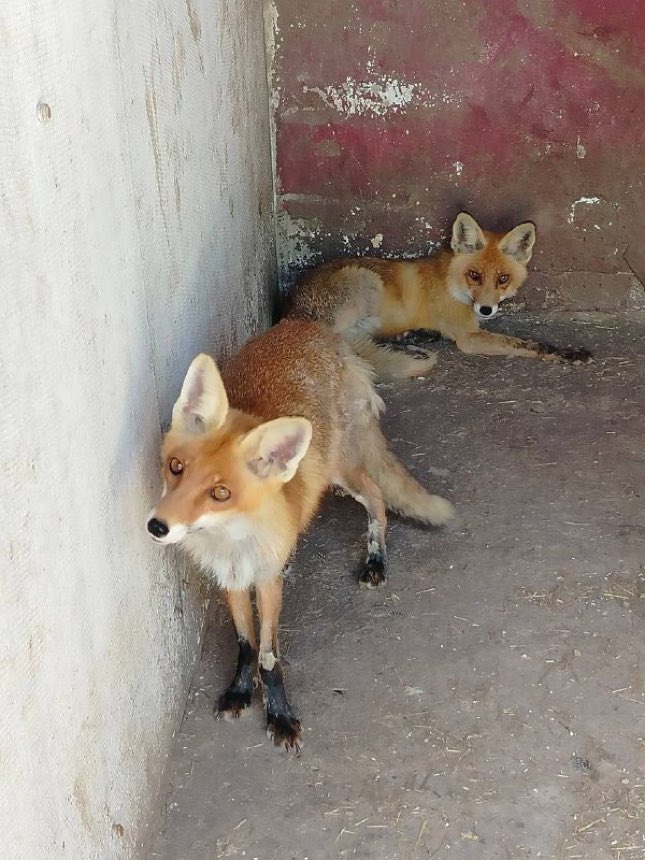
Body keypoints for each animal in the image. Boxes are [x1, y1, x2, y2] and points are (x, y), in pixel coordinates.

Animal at [146, 319, 454, 751]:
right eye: (175, 467)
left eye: (220, 493)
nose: (157, 526)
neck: (235, 540)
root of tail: (316, 328)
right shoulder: (232, 577)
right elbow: (245, 644)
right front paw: (240, 692)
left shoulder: (266, 580)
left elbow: (268, 656)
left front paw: (279, 716)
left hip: (340, 470)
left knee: (377, 497)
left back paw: (376, 561)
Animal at [282, 212, 592, 379]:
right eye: (474, 275)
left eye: (503, 279)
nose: (486, 310)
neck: (451, 283)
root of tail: (290, 313)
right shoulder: (469, 337)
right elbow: (525, 344)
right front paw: (563, 353)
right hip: (366, 281)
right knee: (348, 341)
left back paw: (414, 337)